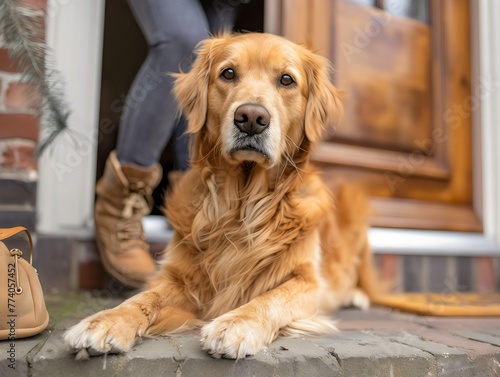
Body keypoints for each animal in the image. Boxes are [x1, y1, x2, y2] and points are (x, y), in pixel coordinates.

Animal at [67, 32, 378, 358]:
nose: (251, 117)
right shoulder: (181, 278)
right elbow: (144, 298)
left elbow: (271, 297)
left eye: (286, 80)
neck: (240, 206)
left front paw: (237, 323)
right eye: (228, 73)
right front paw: (106, 321)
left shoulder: (307, 281)